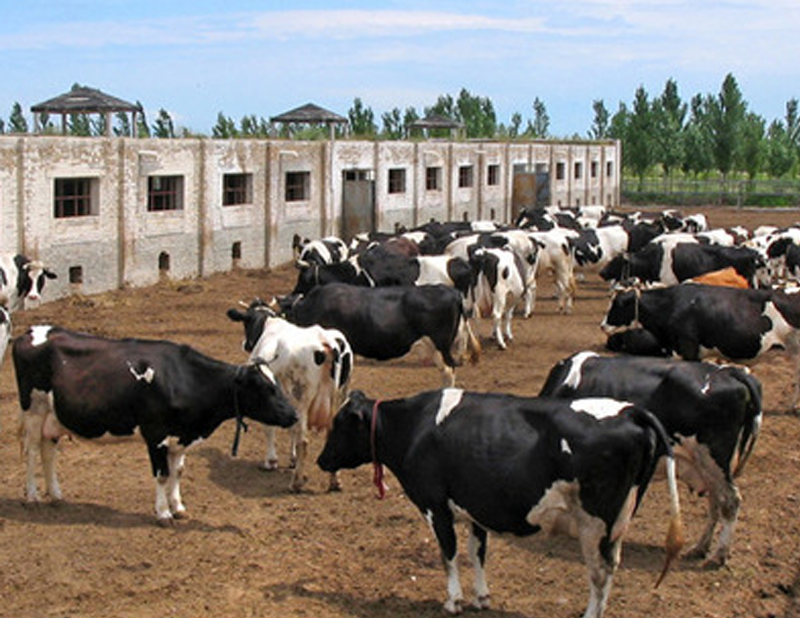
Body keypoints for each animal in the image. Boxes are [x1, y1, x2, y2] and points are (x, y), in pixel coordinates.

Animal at [318, 390, 680, 616]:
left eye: (338, 424)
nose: (321, 461)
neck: (414, 427)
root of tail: (630, 411)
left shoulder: (435, 506)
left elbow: (448, 553)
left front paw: (453, 601)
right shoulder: (476, 507)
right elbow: (476, 552)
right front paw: (482, 597)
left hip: (594, 523)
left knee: (600, 572)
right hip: (618, 521)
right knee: (612, 566)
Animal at [536, 348, 764, 564]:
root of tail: (730, 372)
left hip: (712, 458)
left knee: (730, 501)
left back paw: (718, 555)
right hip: (711, 466)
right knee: (716, 501)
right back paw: (700, 548)